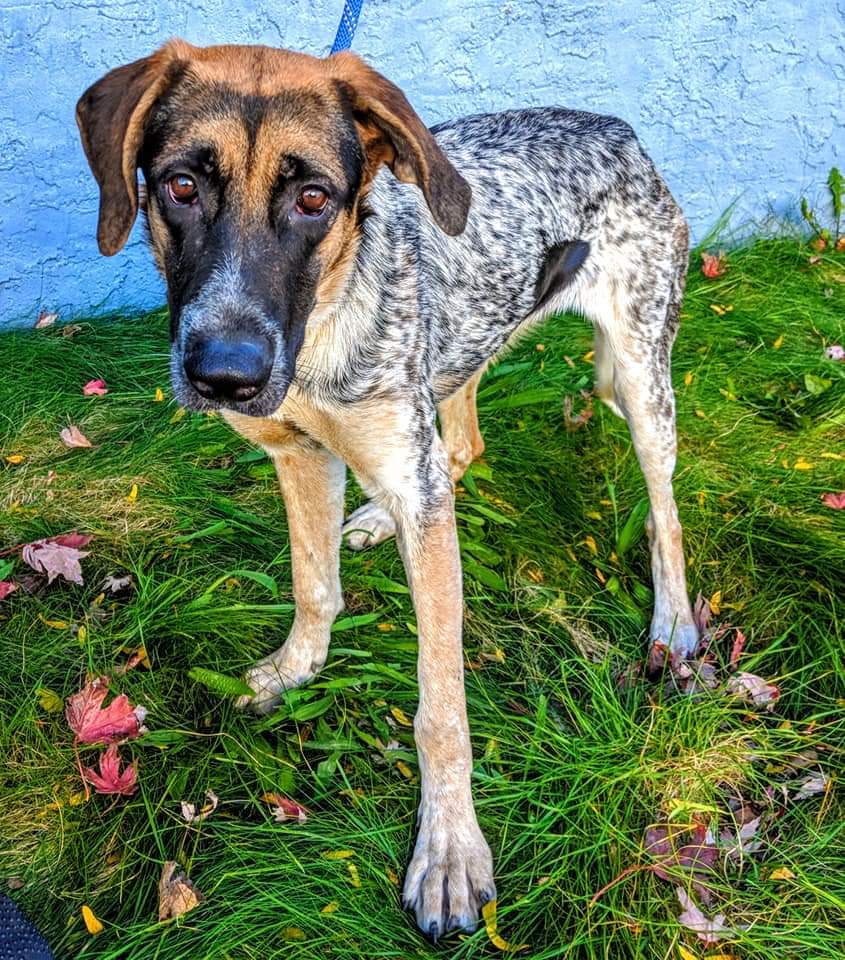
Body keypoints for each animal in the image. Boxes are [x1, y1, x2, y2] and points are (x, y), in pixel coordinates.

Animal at [77, 41, 700, 940]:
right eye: (181, 186)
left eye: (313, 198)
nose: (225, 377)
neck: (323, 326)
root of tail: (615, 127)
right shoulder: (299, 455)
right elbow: (313, 587)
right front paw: (293, 669)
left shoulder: (414, 486)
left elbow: (441, 710)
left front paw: (448, 852)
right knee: (463, 444)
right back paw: (372, 522)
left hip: (639, 380)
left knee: (664, 513)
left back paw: (674, 622)